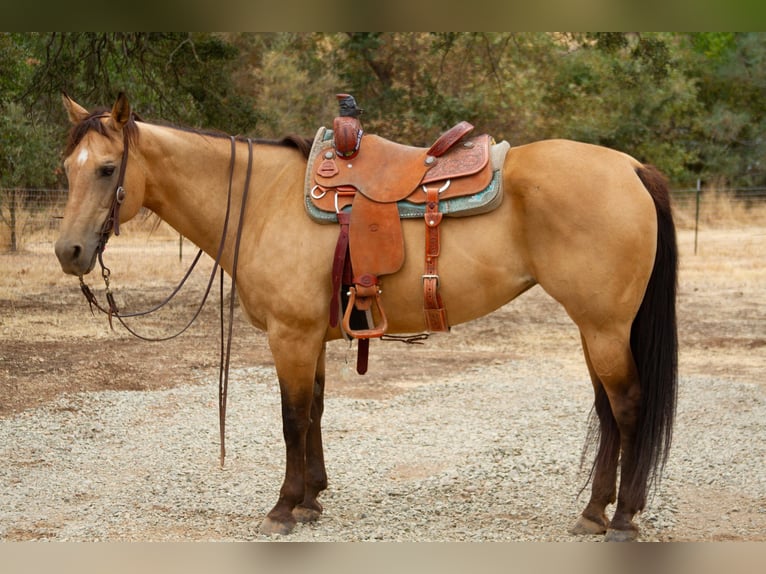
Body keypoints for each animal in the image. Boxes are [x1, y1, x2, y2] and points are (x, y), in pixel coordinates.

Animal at [55, 93, 677, 542]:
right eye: (67, 169)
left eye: (107, 169)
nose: (69, 252)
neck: (263, 201)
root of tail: (631, 167)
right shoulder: (312, 335)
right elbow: (315, 412)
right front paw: (311, 498)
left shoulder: (291, 336)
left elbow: (292, 419)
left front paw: (283, 506)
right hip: (594, 327)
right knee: (607, 410)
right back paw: (594, 512)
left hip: (604, 327)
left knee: (627, 408)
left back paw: (622, 519)